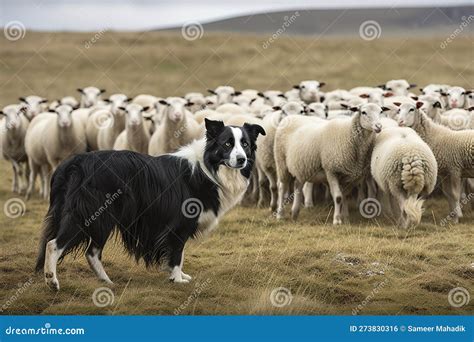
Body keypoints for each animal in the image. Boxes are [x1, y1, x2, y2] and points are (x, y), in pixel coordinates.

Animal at [36, 119, 266, 290]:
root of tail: (74, 163)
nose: (242, 160)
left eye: (245, 144)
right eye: (227, 144)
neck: (208, 168)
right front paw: (177, 279)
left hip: (101, 218)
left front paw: (179, 275)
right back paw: (51, 280)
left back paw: (106, 281)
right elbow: (177, 253)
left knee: (91, 252)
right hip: (92, 214)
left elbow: (179, 254)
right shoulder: (179, 223)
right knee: (54, 244)